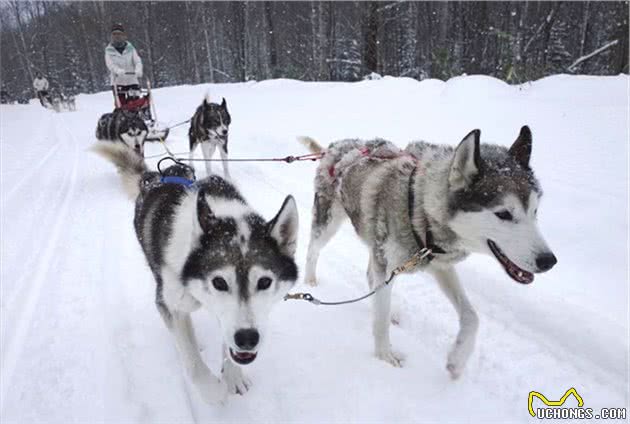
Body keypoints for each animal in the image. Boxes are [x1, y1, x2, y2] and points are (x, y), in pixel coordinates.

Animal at [91, 142, 302, 404]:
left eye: (264, 282)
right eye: (219, 282)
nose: (247, 339)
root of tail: (155, 177)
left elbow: (226, 341)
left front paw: (232, 375)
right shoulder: (170, 303)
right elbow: (193, 365)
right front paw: (215, 391)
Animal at [302, 126, 556, 378]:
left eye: (535, 211)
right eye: (503, 214)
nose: (549, 261)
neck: (419, 208)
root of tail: (336, 146)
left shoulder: (440, 266)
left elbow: (471, 317)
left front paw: (457, 360)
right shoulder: (388, 263)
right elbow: (380, 321)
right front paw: (385, 357)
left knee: (371, 278)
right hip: (329, 225)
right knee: (313, 251)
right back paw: (310, 281)